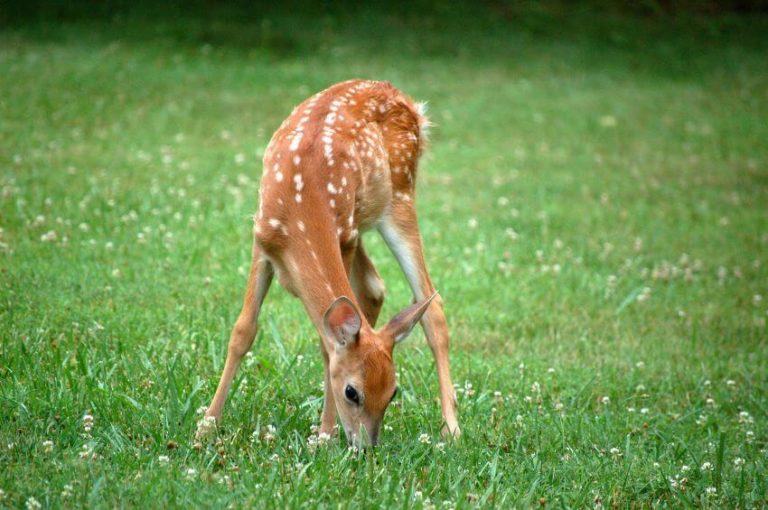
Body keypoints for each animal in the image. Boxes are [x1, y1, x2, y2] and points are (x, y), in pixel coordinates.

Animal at [198, 79, 460, 448]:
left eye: (393, 393)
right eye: (352, 392)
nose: (366, 447)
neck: (302, 210)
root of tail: (405, 99)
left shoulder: (342, 237)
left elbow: (325, 345)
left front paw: (324, 434)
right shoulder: (262, 238)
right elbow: (243, 331)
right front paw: (207, 425)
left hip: (398, 196)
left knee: (431, 307)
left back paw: (452, 427)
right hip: (365, 219)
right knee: (375, 287)